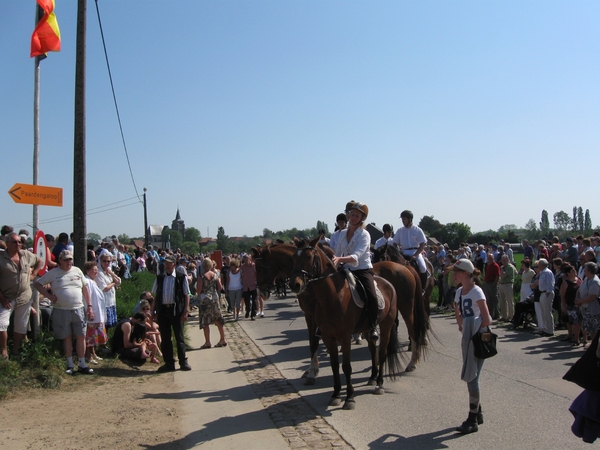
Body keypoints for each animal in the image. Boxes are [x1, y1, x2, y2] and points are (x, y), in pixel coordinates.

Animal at [294, 244, 400, 410]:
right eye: (294, 256)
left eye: (309, 256)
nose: (295, 285)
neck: (333, 296)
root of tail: (389, 284)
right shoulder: (328, 336)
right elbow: (334, 365)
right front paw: (336, 395)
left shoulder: (344, 337)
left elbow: (347, 367)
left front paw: (349, 398)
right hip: (368, 329)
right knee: (372, 350)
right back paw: (372, 377)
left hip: (386, 326)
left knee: (382, 353)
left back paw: (379, 384)